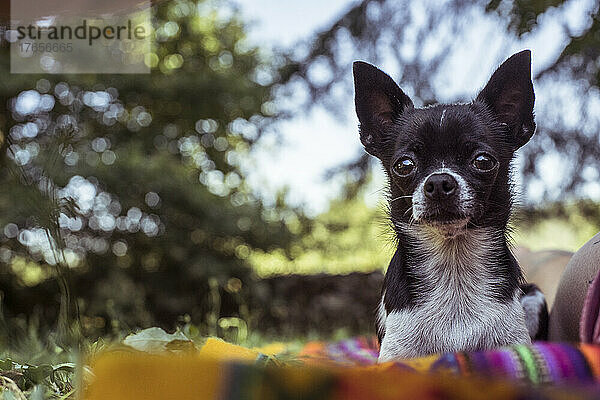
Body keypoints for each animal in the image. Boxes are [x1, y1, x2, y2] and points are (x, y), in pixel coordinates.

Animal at [354, 50, 552, 362]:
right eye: (404, 165)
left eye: (483, 161)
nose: (438, 182)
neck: (454, 264)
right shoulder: (396, 355)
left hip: (534, 295)